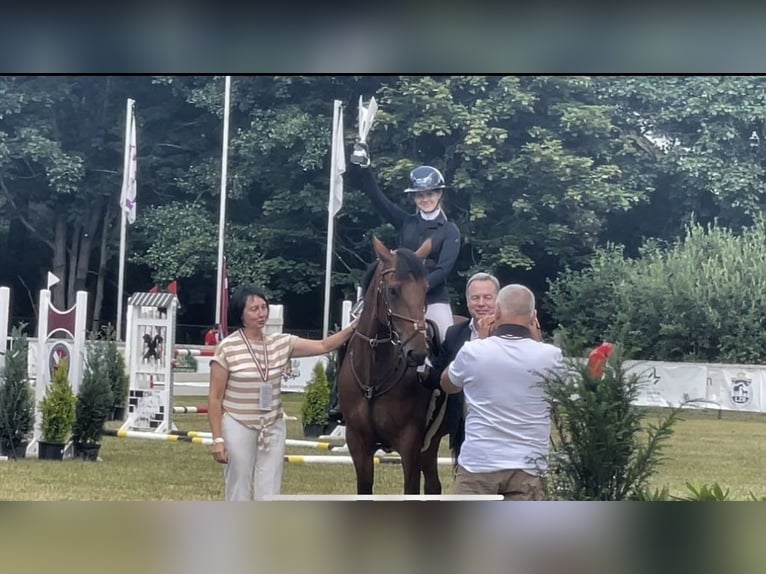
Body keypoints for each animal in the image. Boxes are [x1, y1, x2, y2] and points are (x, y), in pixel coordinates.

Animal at [338, 236, 450, 498]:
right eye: (393, 290)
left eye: (425, 290)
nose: (418, 354)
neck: (374, 376)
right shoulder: (358, 443)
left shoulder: (410, 445)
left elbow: (410, 489)